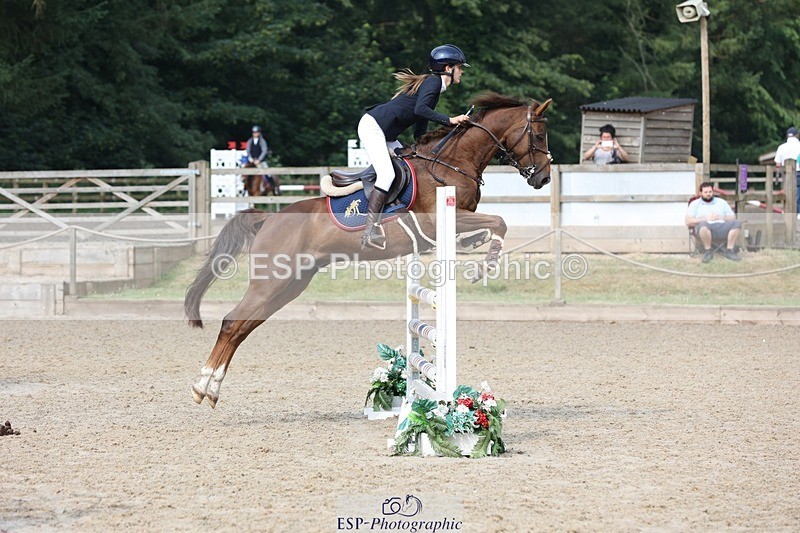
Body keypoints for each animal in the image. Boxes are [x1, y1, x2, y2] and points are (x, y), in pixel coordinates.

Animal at [186, 92, 553, 408]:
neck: (452, 162)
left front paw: (477, 249)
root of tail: (269, 219)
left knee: (244, 326)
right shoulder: (440, 219)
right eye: (539, 134)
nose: (544, 179)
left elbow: (489, 225)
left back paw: (211, 388)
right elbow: (500, 222)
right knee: (232, 323)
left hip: (290, 284)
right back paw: (203, 385)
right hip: (271, 282)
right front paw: (485, 265)